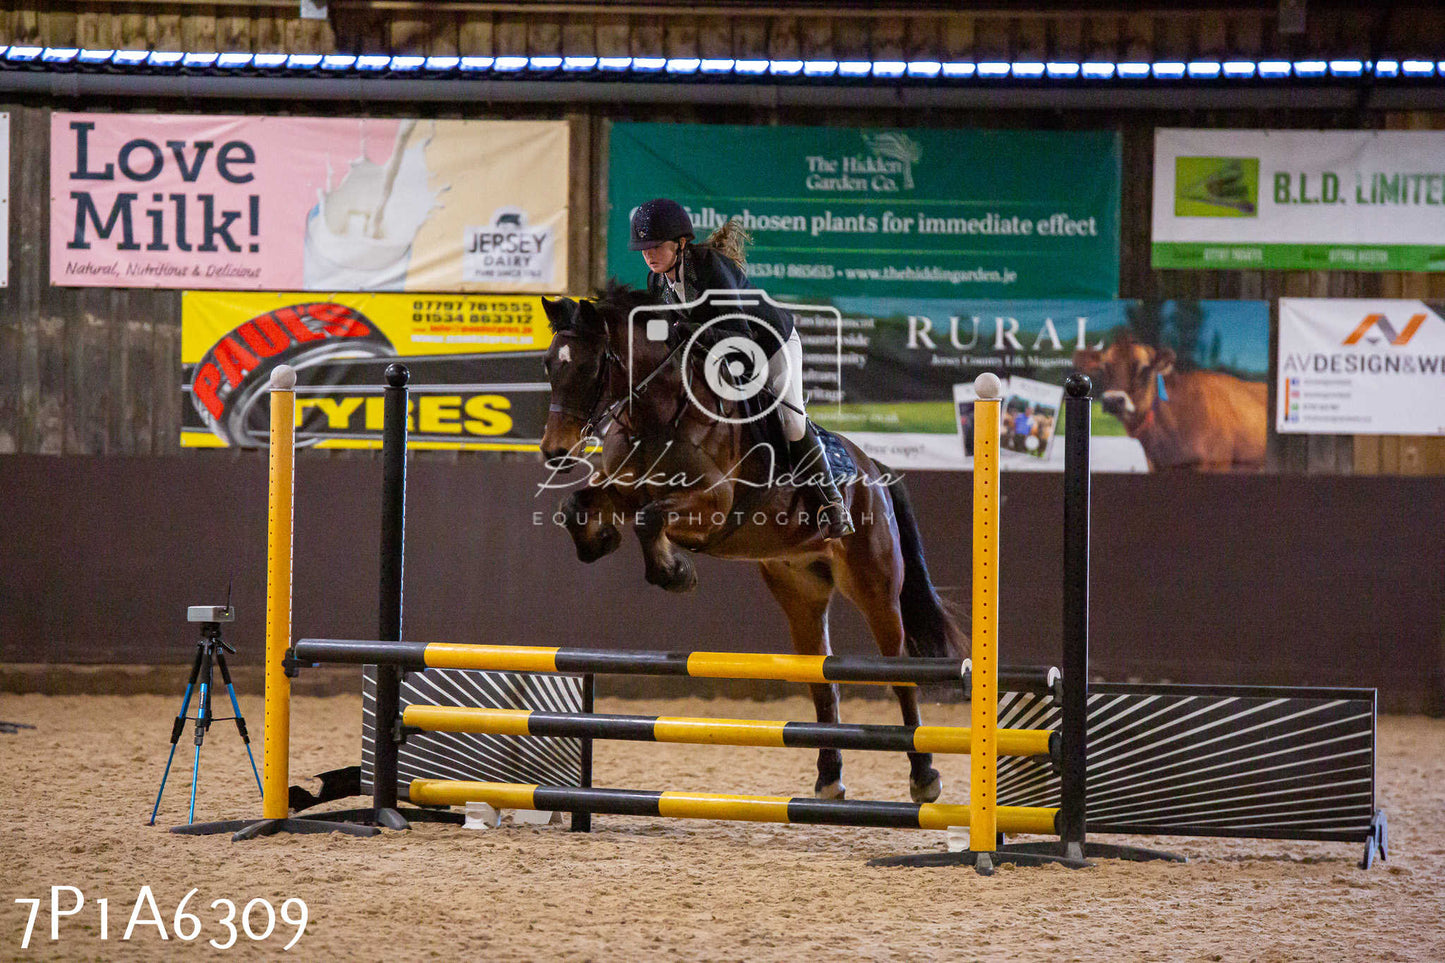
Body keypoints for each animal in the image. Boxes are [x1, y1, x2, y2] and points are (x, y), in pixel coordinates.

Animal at [537, 284, 965, 803]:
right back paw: (829, 778)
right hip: (800, 590)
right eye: (548, 365)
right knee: (822, 682)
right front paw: (599, 541)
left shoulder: (711, 506)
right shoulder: (622, 487)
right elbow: (580, 506)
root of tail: (874, 471)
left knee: (899, 674)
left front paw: (675, 573)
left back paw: (924, 777)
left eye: (587, 367)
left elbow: (649, 518)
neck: (658, 413)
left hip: (875, 587)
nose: (555, 452)